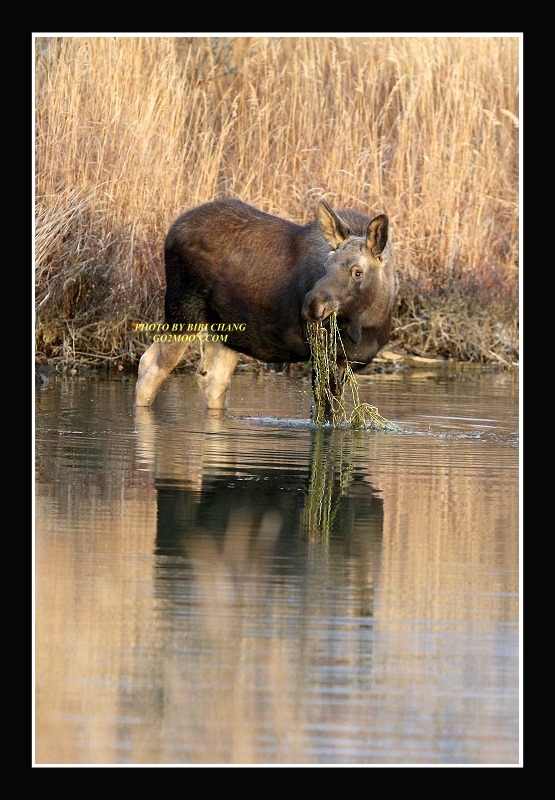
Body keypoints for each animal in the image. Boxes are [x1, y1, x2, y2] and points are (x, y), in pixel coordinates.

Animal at [135, 198, 398, 416]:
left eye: (357, 272)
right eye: (326, 264)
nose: (312, 305)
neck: (367, 326)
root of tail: (171, 230)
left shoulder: (346, 361)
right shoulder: (322, 355)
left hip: (226, 331)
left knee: (213, 379)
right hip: (182, 313)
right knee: (151, 367)